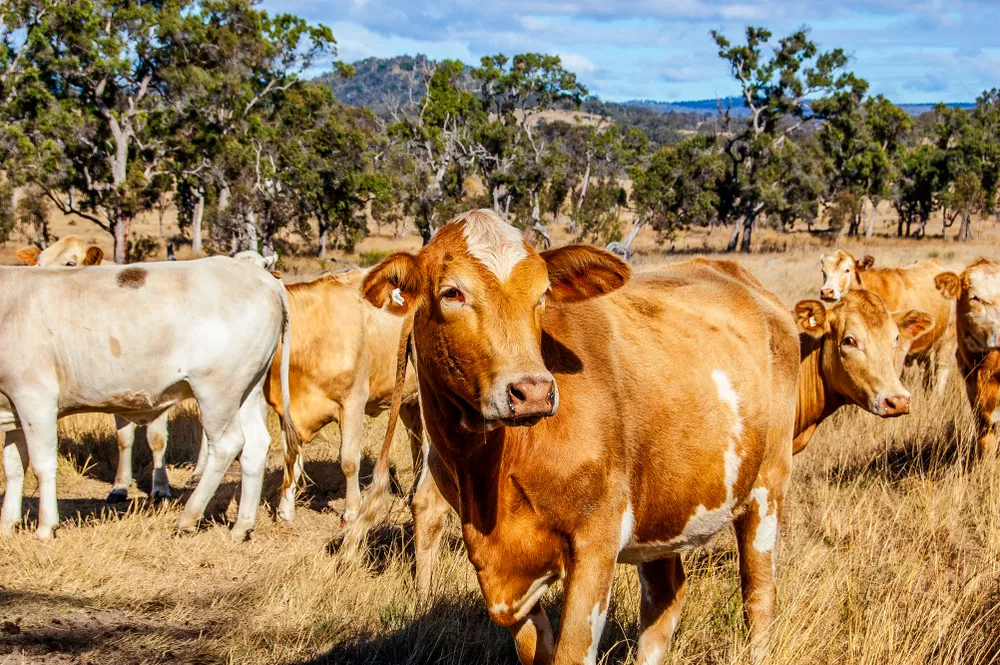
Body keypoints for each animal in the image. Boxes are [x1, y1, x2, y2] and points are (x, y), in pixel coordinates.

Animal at [0, 255, 298, 540]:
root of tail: (261, 277)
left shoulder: (35, 399)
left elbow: (42, 465)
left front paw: (45, 527)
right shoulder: (13, 409)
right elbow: (13, 466)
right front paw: (6, 524)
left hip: (217, 390)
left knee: (227, 444)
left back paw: (188, 519)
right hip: (248, 390)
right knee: (256, 446)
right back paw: (241, 527)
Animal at [350, 211, 796, 664]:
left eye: (543, 293)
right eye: (452, 292)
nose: (532, 391)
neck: (490, 472)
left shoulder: (596, 542)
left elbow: (572, 652)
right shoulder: (505, 575)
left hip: (767, 485)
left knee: (758, 596)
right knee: (664, 599)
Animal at [820, 250, 952, 394]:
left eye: (847, 270)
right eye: (823, 271)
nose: (827, 292)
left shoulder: (899, 349)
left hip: (947, 340)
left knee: (941, 371)